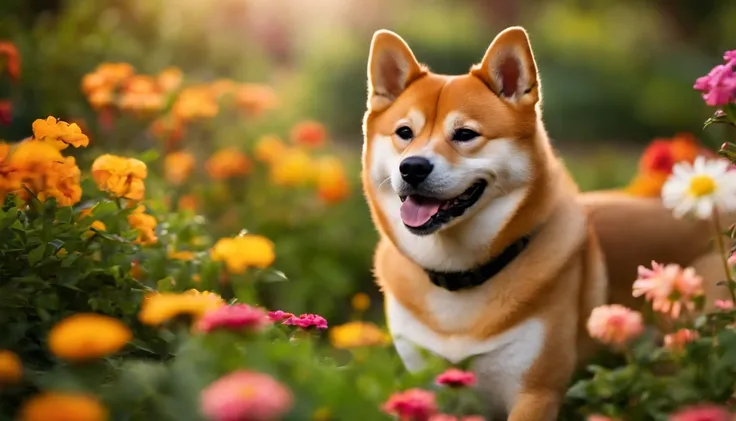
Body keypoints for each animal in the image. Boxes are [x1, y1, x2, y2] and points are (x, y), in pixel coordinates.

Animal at [360, 27, 732, 420]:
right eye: (404, 132)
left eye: (465, 134)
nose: (412, 167)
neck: (459, 277)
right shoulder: (431, 388)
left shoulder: (535, 393)